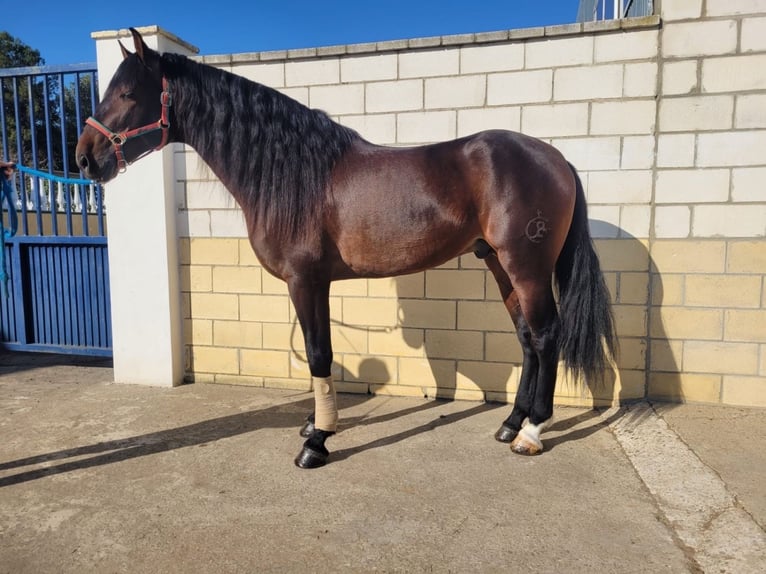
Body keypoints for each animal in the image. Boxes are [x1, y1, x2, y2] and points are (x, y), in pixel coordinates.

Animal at [76, 29, 616, 470]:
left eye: (128, 93)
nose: (84, 158)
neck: (295, 173)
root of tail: (556, 158)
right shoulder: (312, 284)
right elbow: (317, 353)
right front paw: (314, 424)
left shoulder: (306, 280)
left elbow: (319, 353)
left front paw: (317, 441)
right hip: (500, 265)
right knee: (526, 338)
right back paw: (510, 423)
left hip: (527, 267)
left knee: (546, 335)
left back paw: (532, 432)